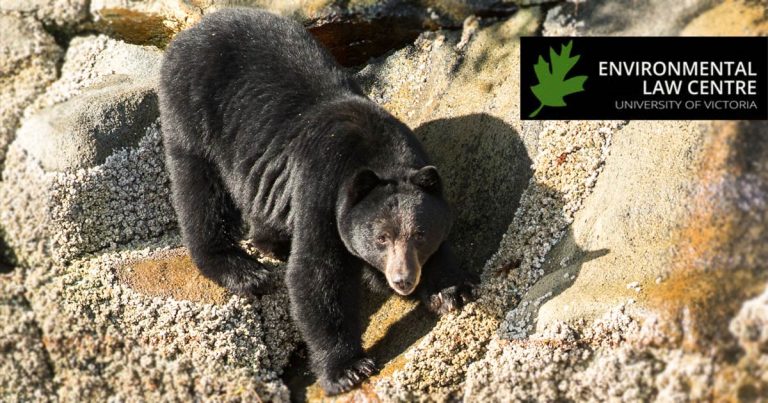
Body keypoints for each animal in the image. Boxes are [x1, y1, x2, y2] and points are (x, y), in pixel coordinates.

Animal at [158, 8, 478, 395]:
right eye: (381, 238)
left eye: (418, 234)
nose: (402, 279)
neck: (375, 150)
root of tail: (193, 30)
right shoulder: (322, 184)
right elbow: (317, 272)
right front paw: (347, 368)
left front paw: (450, 289)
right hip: (192, 112)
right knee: (200, 192)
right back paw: (243, 270)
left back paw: (273, 242)